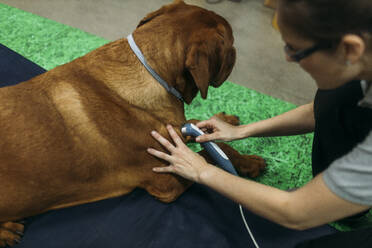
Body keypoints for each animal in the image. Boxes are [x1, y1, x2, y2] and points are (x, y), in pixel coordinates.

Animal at [0, 0, 266, 246]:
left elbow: (199, 127)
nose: (236, 52)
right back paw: (7, 230)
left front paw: (228, 128)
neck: (150, 73)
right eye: (231, 42)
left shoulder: (174, 129)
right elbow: (206, 157)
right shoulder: (166, 181)